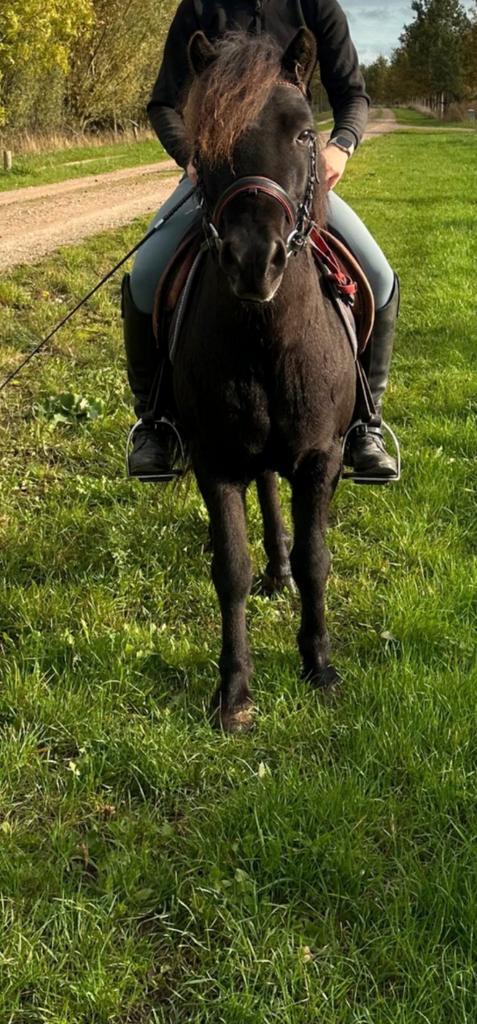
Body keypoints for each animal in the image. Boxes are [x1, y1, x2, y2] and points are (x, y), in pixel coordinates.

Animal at [172, 27, 356, 732]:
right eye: (206, 141)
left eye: (305, 133)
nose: (255, 261)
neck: (266, 339)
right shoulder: (215, 459)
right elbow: (231, 567)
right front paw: (235, 690)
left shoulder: (320, 456)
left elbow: (315, 558)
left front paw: (319, 667)